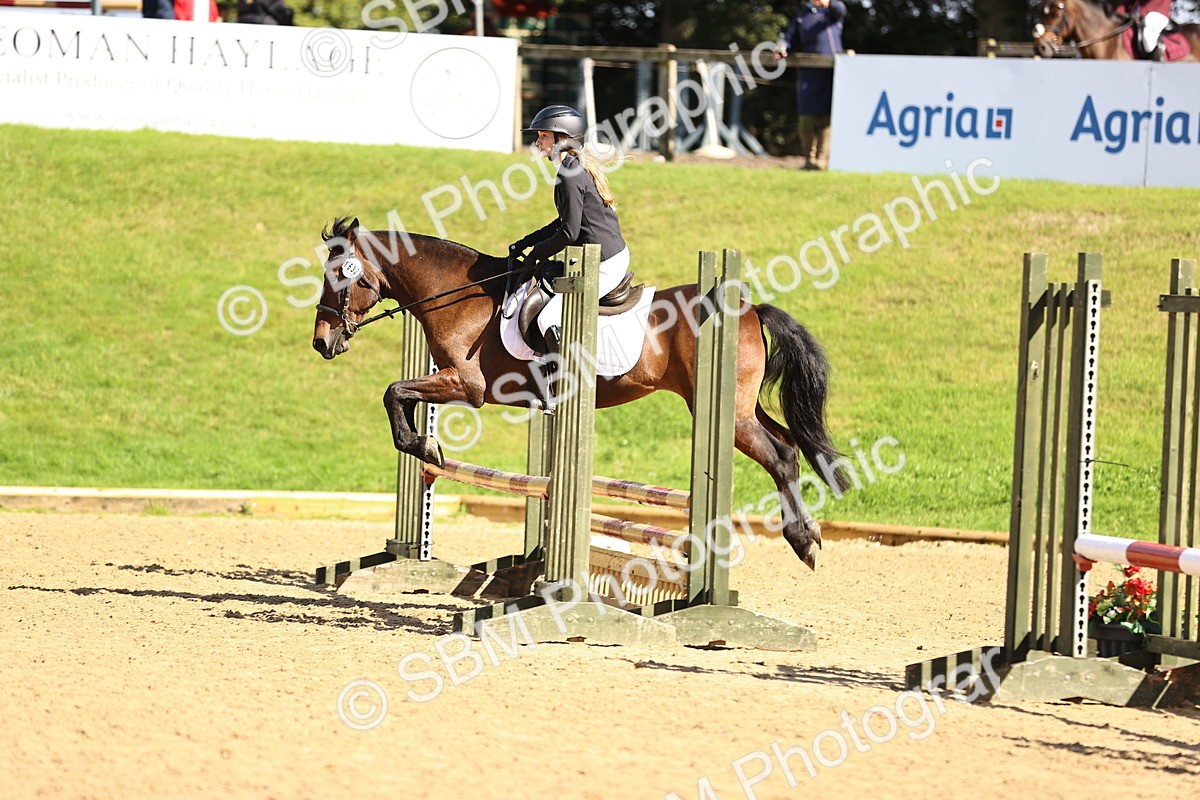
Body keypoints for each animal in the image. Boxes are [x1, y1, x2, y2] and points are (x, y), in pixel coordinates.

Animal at [311, 217, 848, 572]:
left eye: (339, 276)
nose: (321, 342)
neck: (458, 297)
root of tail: (749, 306)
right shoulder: (452, 382)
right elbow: (400, 396)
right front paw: (424, 445)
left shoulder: (469, 385)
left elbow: (393, 392)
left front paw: (424, 446)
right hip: (742, 408)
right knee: (790, 444)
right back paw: (808, 533)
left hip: (726, 415)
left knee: (779, 455)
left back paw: (803, 541)